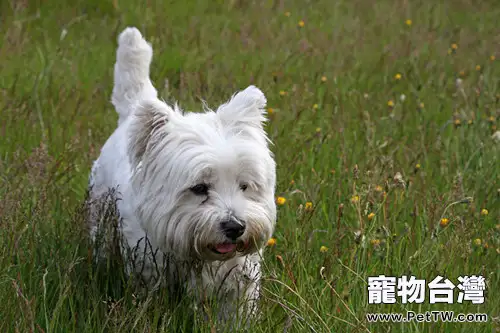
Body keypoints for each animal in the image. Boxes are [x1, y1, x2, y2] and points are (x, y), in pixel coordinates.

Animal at [86, 27, 278, 318]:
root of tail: (133, 111)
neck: (200, 257)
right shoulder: (150, 273)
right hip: (101, 214)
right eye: (199, 188)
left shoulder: (239, 284)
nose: (235, 227)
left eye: (245, 186)